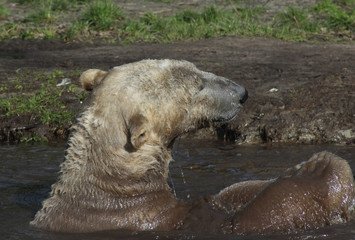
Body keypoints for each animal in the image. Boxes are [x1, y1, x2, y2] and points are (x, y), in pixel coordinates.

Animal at [32, 59, 354, 234]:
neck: (109, 187)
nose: (242, 93)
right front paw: (318, 168)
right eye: (197, 87)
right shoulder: (159, 219)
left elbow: (231, 193)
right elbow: (236, 221)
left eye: (200, 71)